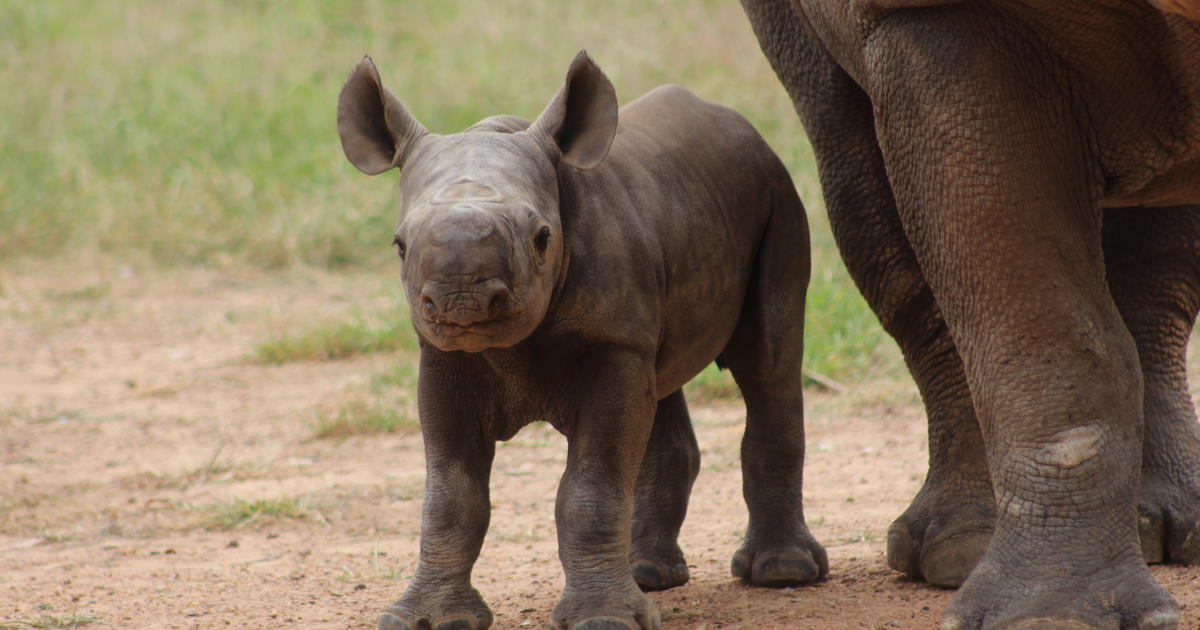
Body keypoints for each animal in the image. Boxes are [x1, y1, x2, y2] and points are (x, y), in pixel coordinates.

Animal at [338, 50, 825, 628]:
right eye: (399, 245)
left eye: (542, 238)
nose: (463, 301)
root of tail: (742, 125)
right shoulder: (443, 355)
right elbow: (451, 495)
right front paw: (425, 618)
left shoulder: (610, 341)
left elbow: (591, 487)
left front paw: (604, 619)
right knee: (662, 381)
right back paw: (648, 575)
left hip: (778, 192)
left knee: (767, 363)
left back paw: (782, 571)